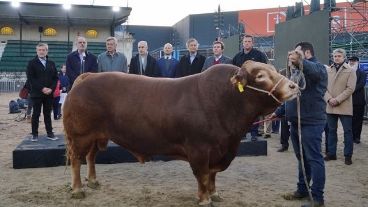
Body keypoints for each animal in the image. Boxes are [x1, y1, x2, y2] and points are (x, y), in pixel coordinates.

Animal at [63, 60, 300, 206]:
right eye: (260, 75)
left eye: (273, 69)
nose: (294, 86)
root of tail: (88, 76)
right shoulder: (199, 149)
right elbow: (202, 175)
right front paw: (204, 199)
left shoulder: (219, 150)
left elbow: (212, 175)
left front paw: (215, 194)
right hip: (81, 135)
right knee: (76, 159)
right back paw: (77, 189)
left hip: (96, 136)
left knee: (91, 157)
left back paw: (93, 181)